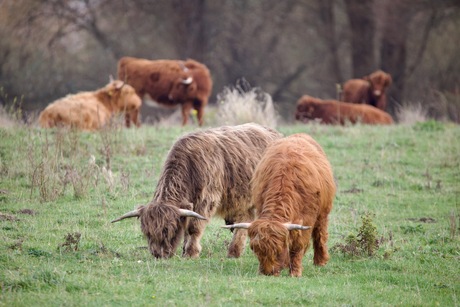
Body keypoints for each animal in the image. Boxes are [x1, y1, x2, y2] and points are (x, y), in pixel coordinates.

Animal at [112, 122, 284, 260]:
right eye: (147, 232)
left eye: (168, 229)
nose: (159, 254)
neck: (190, 166)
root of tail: (275, 133)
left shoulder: (207, 199)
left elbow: (194, 227)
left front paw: (190, 253)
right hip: (241, 199)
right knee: (244, 220)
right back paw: (233, 252)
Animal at [223, 134, 334, 278]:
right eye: (255, 249)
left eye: (278, 249)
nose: (267, 273)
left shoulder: (306, 219)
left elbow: (297, 246)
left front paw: (295, 272)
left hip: (323, 212)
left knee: (320, 234)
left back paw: (320, 261)